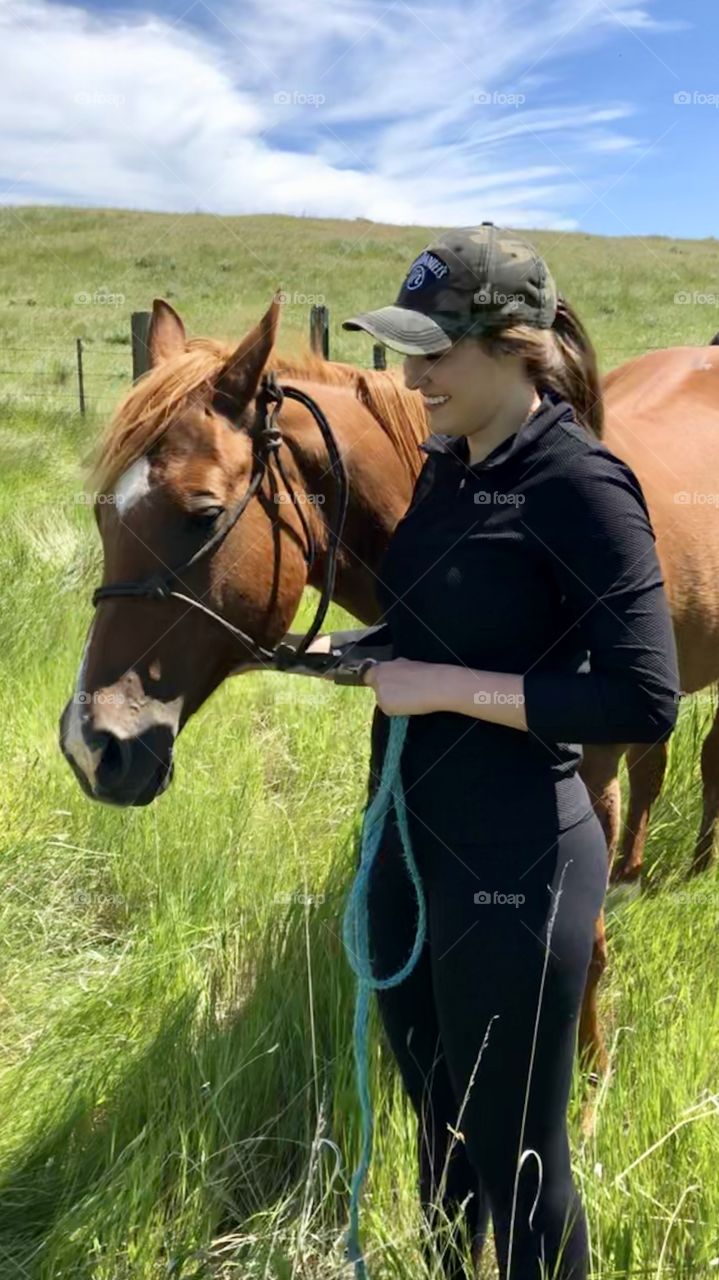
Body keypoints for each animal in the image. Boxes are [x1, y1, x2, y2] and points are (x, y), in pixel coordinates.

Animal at [58, 294, 716, 1075]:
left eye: (205, 514)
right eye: (101, 513)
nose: (92, 746)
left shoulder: (590, 772)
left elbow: (579, 949)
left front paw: (589, 1076)